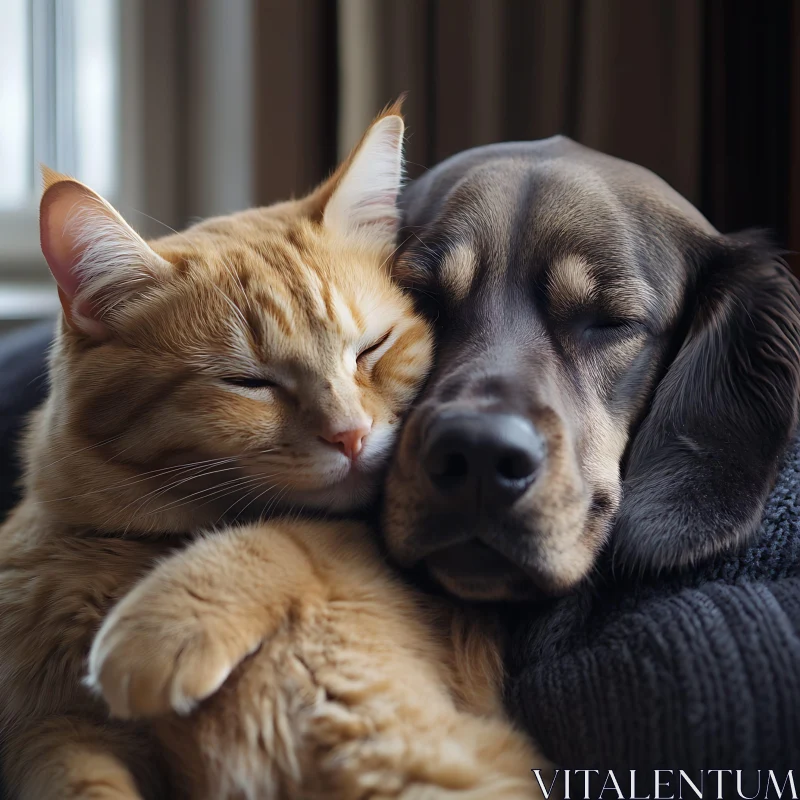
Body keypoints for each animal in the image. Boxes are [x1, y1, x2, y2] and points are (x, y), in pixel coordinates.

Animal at [0, 108, 548, 800]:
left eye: (372, 348)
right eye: (248, 382)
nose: (350, 434)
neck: (112, 548)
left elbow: (293, 530)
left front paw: (167, 621)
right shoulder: (53, 735)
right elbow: (81, 779)